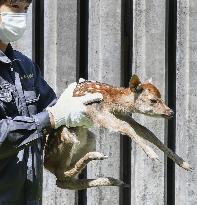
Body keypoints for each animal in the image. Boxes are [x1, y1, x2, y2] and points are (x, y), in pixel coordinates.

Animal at [43, 74, 192, 190]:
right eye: (153, 100)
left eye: (162, 97)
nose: (170, 112)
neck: (113, 100)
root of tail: (47, 164)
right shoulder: (96, 111)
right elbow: (125, 127)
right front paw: (152, 154)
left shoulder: (122, 114)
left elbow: (146, 131)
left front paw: (185, 164)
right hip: (66, 138)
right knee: (61, 175)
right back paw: (99, 158)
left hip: (90, 138)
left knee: (64, 182)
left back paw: (114, 180)